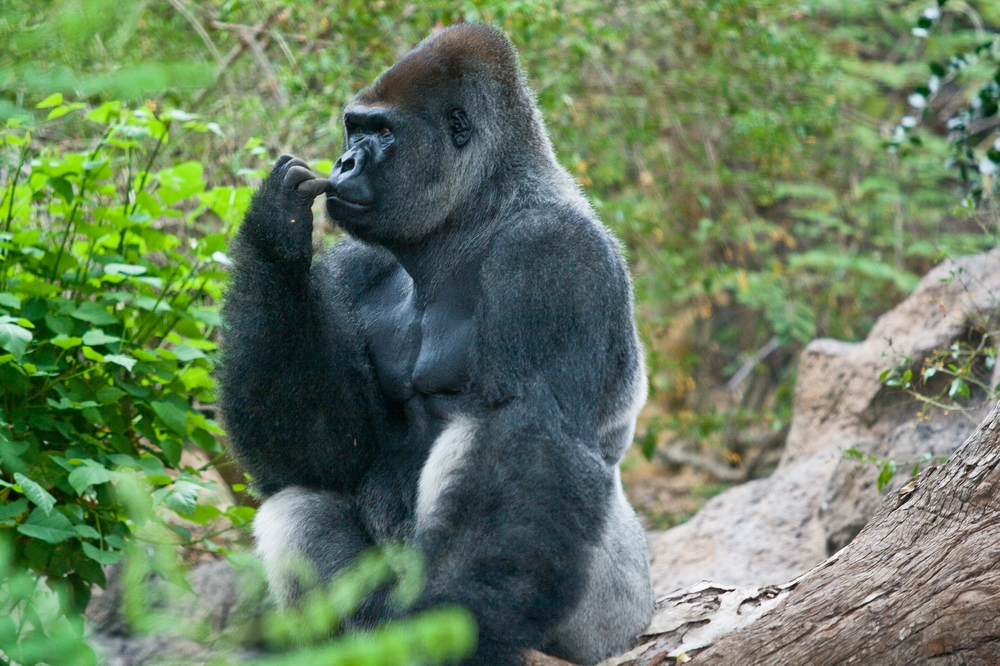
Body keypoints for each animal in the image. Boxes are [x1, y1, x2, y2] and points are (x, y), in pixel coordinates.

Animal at [221, 23, 656, 664]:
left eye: (382, 132)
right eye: (353, 128)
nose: (344, 161)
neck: (475, 212)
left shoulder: (551, 253)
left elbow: (527, 428)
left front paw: (460, 628)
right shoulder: (358, 263)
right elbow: (325, 451)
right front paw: (275, 232)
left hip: (611, 621)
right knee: (297, 508)